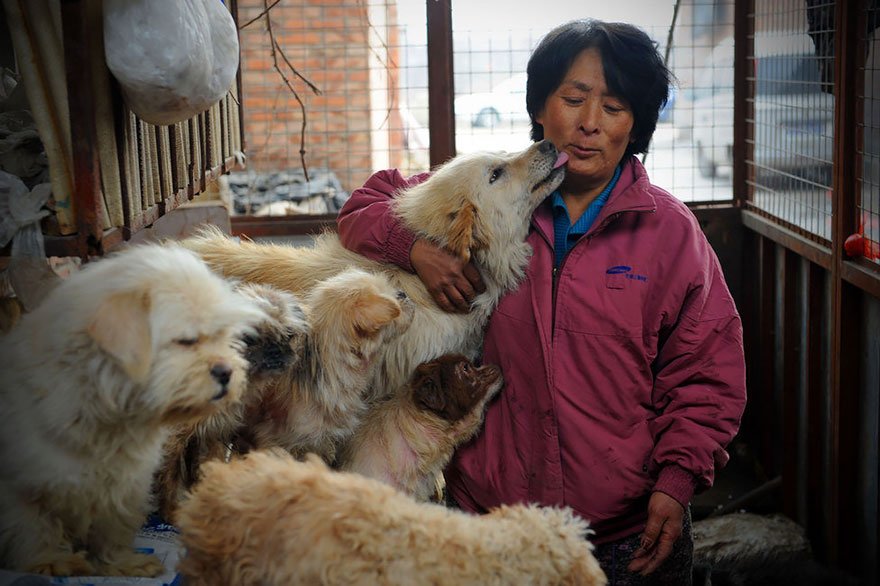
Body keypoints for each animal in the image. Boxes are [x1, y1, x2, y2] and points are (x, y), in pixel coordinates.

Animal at [0, 243, 266, 576]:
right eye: (186, 340)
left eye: (223, 335)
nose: (228, 372)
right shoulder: (23, 488)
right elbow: (34, 527)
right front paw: (50, 561)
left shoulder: (128, 481)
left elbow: (114, 524)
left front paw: (122, 563)